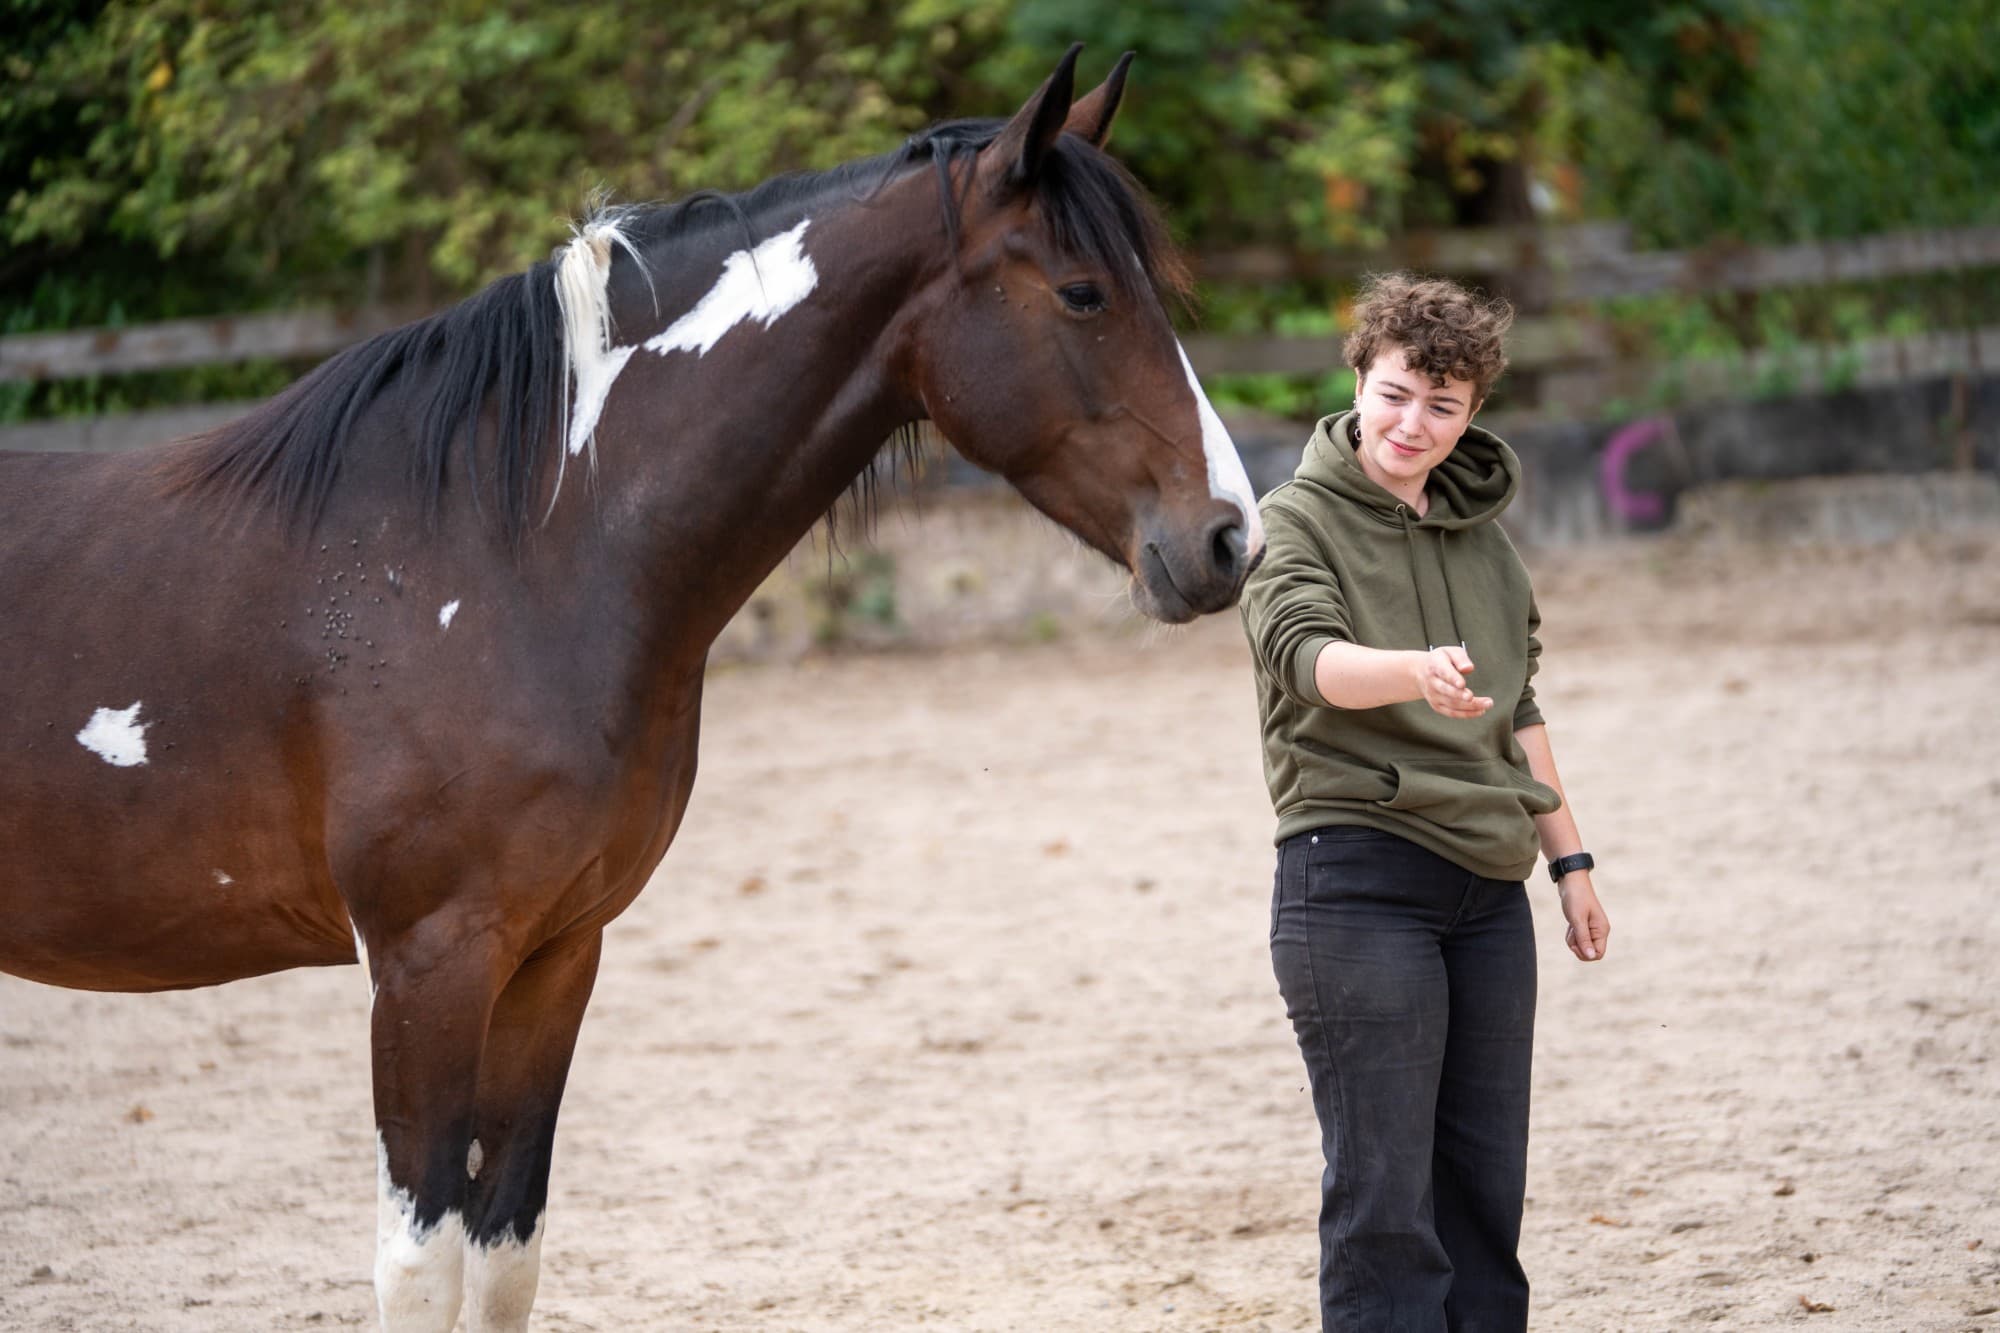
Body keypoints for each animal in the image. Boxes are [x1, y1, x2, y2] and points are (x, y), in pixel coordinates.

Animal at [0, 46, 1263, 1331]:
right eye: (1082, 295)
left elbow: (504, 1251)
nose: (1228, 537)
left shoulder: (556, 956)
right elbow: (419, 1263)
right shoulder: (425, 965)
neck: (500, 545)